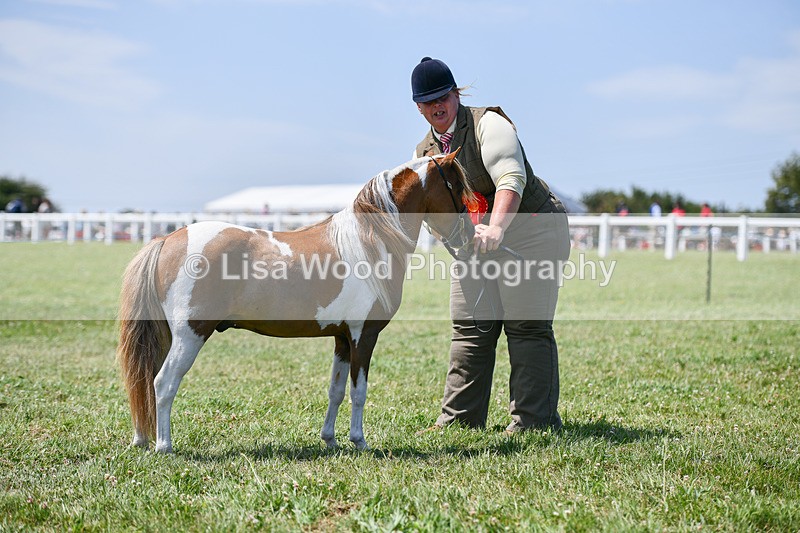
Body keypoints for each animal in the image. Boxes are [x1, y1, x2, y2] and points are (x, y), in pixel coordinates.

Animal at [117, 150, 475, 453]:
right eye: (456, 185)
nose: (469, 236)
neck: (371, 241)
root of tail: (167, 239)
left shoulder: (342, 337)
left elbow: (336, 390)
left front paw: (330, 439)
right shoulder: (363, 335)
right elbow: (358, 392)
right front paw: (359, 441)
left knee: (146, 383)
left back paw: (142, 439)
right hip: (190, 335)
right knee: (163, 383)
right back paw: (164, 446)